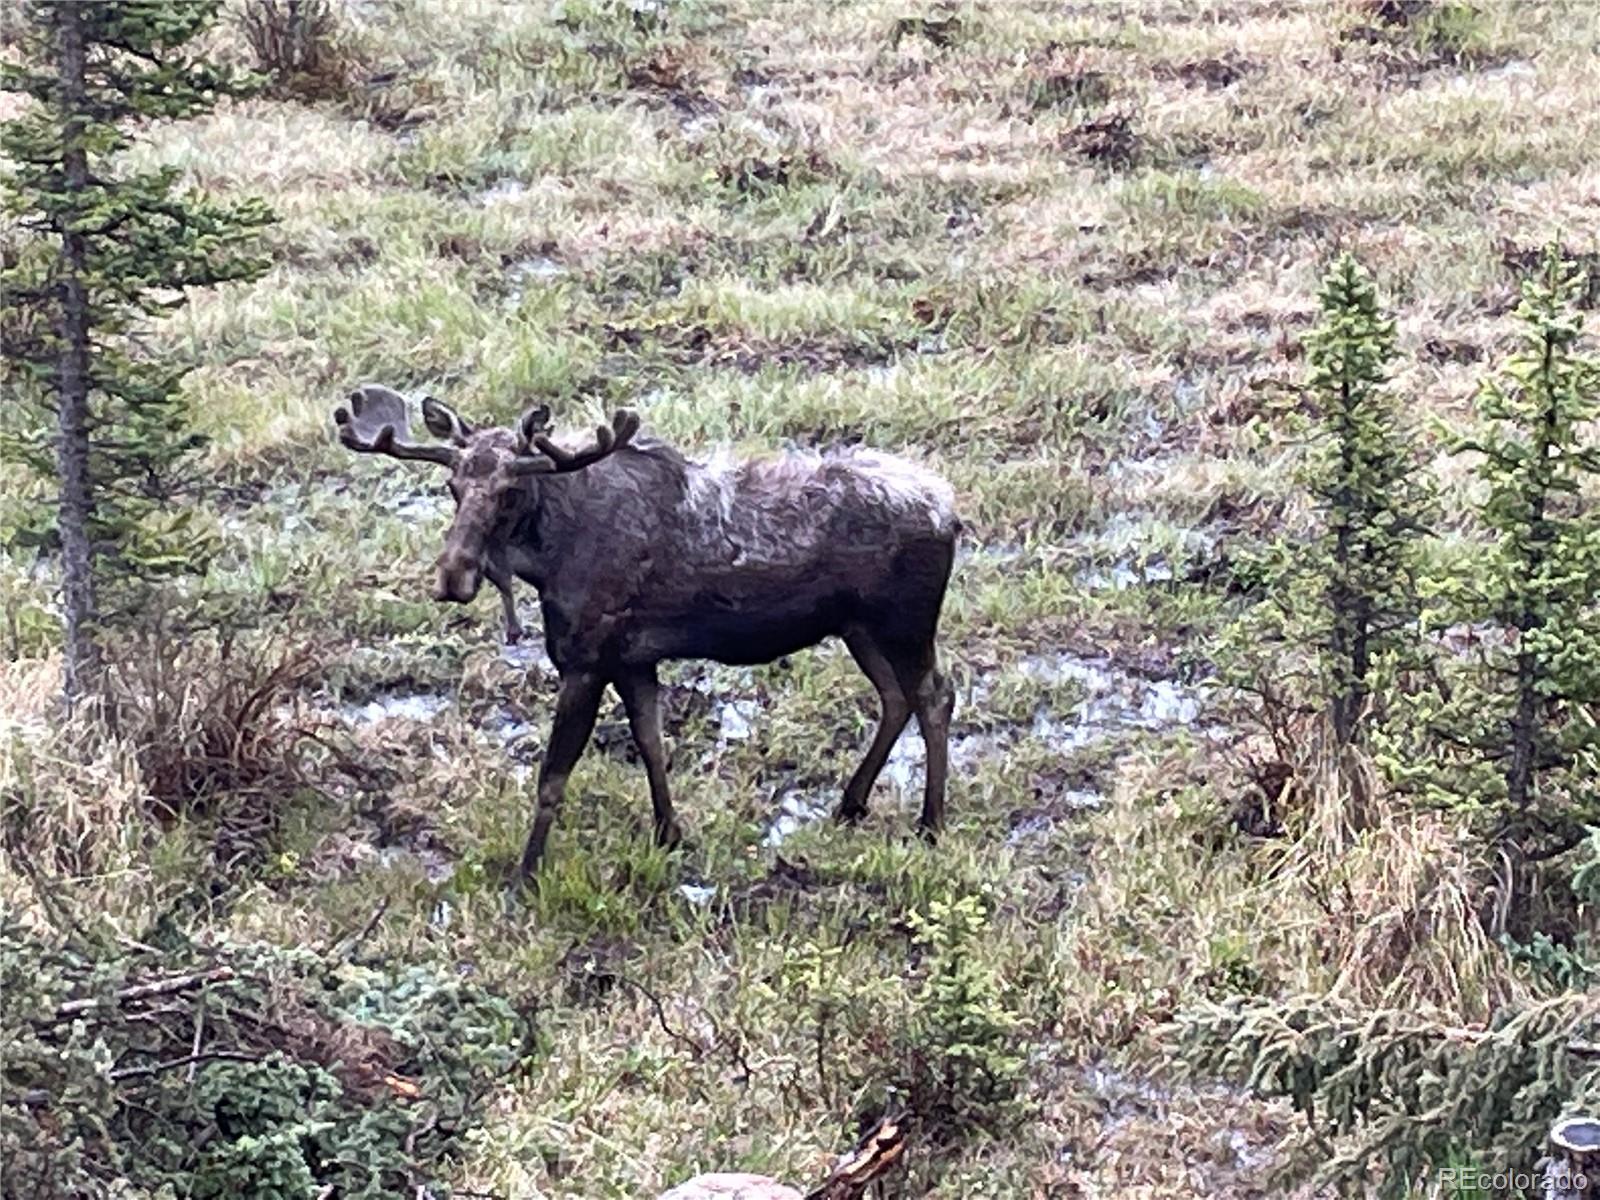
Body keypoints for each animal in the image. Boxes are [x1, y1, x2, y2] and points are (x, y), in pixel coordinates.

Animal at [331, 387, 953, 883]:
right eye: (452, 485)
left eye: (510, 490)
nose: (452, 577)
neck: (548, 561)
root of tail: (954, 514)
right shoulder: (633, 659)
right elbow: (651, 743)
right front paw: (668, 831)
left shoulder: (585, 660)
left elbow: (552, 777)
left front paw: (526, 875)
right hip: (859, 627)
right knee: (895, 698)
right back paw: (851, 804)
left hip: (904, 623)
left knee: (934, 697)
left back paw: (931, 823)